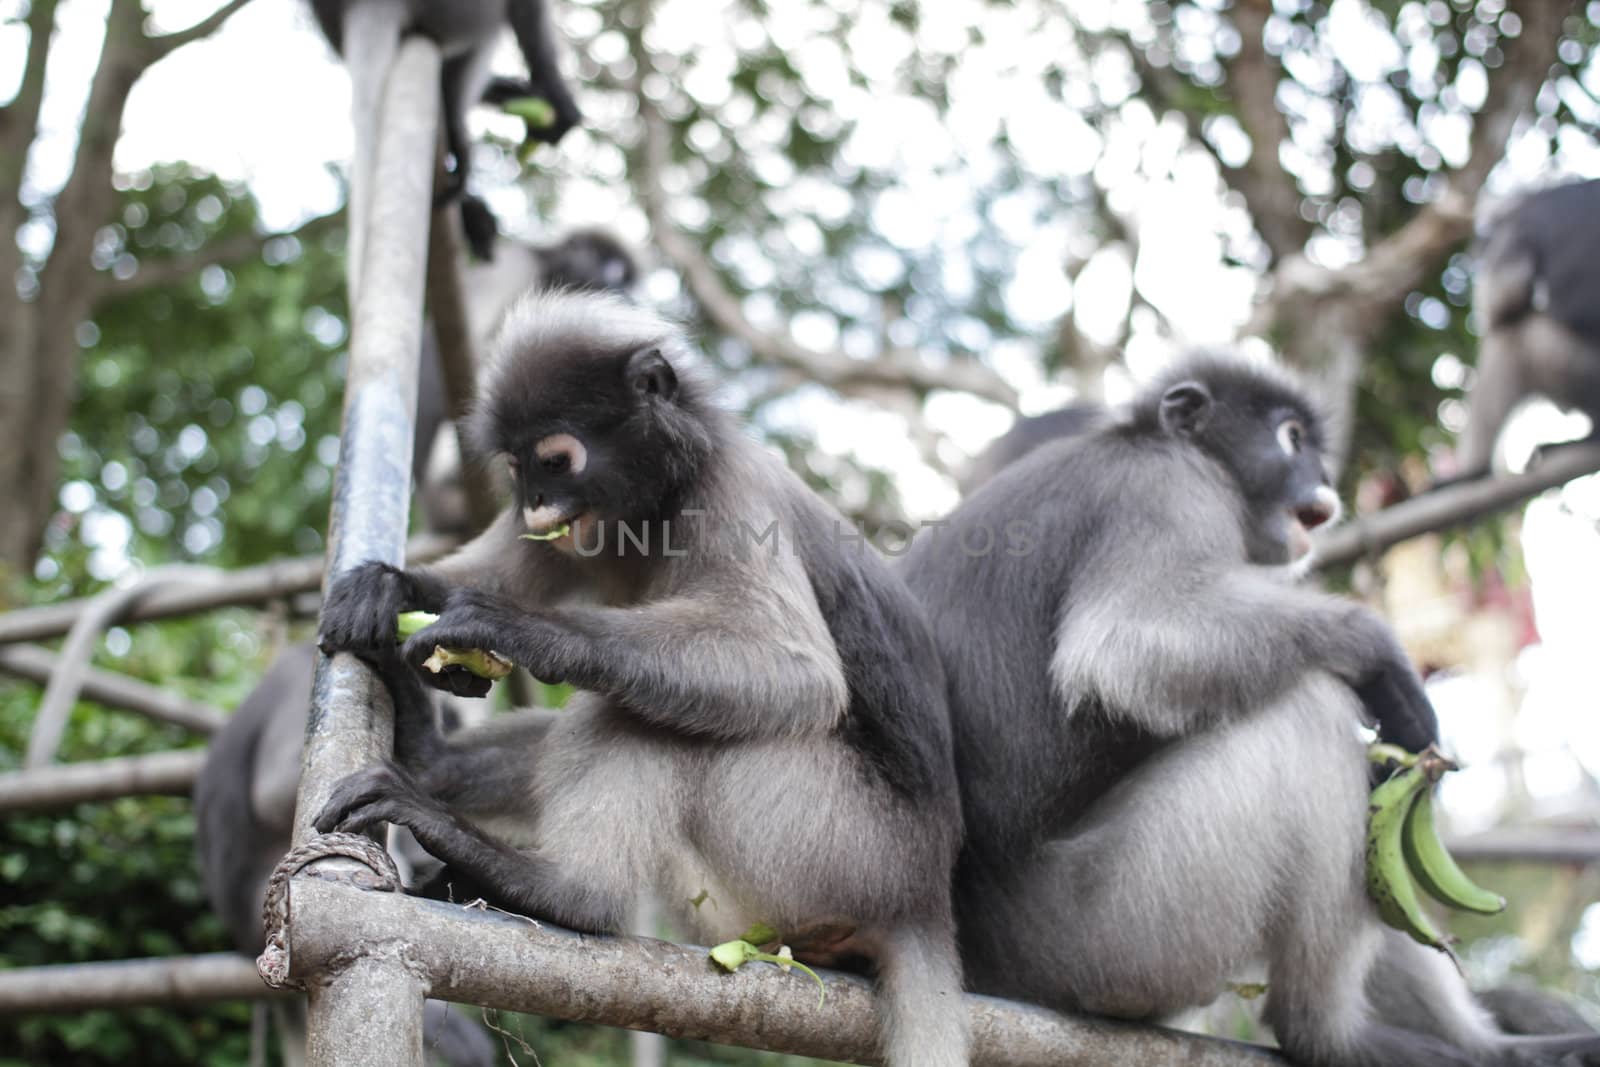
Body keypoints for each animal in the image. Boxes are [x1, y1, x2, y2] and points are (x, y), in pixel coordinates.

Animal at [902, 358, 1600, 1067]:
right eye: (1291, 439)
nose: (1323, 483)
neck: (1146, 440)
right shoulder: (1165, 487)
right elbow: (1124, 646)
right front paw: (1375, 651)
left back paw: (1495, 1048)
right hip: (1107, 928)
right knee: (1307, 710)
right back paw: (1332, 1035)